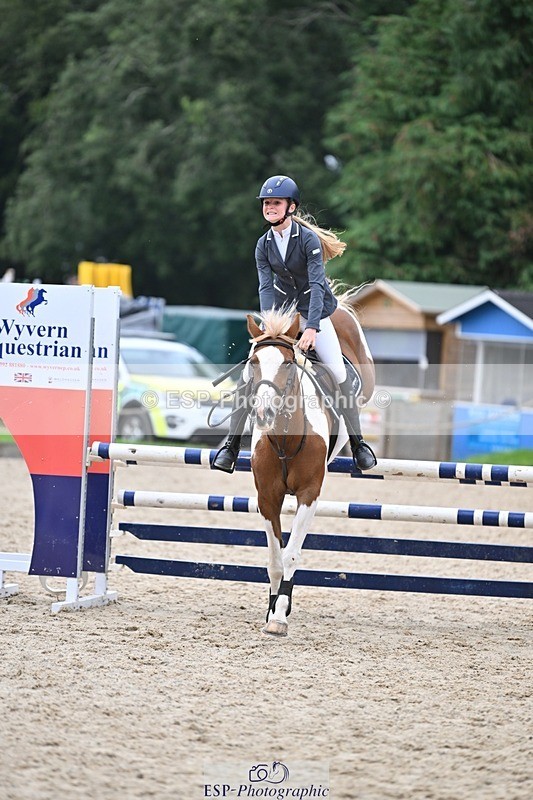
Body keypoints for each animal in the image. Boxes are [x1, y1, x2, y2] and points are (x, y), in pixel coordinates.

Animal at [246, 298, 375, 637]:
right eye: (253, 362)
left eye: (288, 364)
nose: (263, 413)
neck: (285, 438)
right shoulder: (268, 498)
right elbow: (275, 558)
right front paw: (272, 610)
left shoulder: (309, 494)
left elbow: (291, 553)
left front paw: (280, 615)